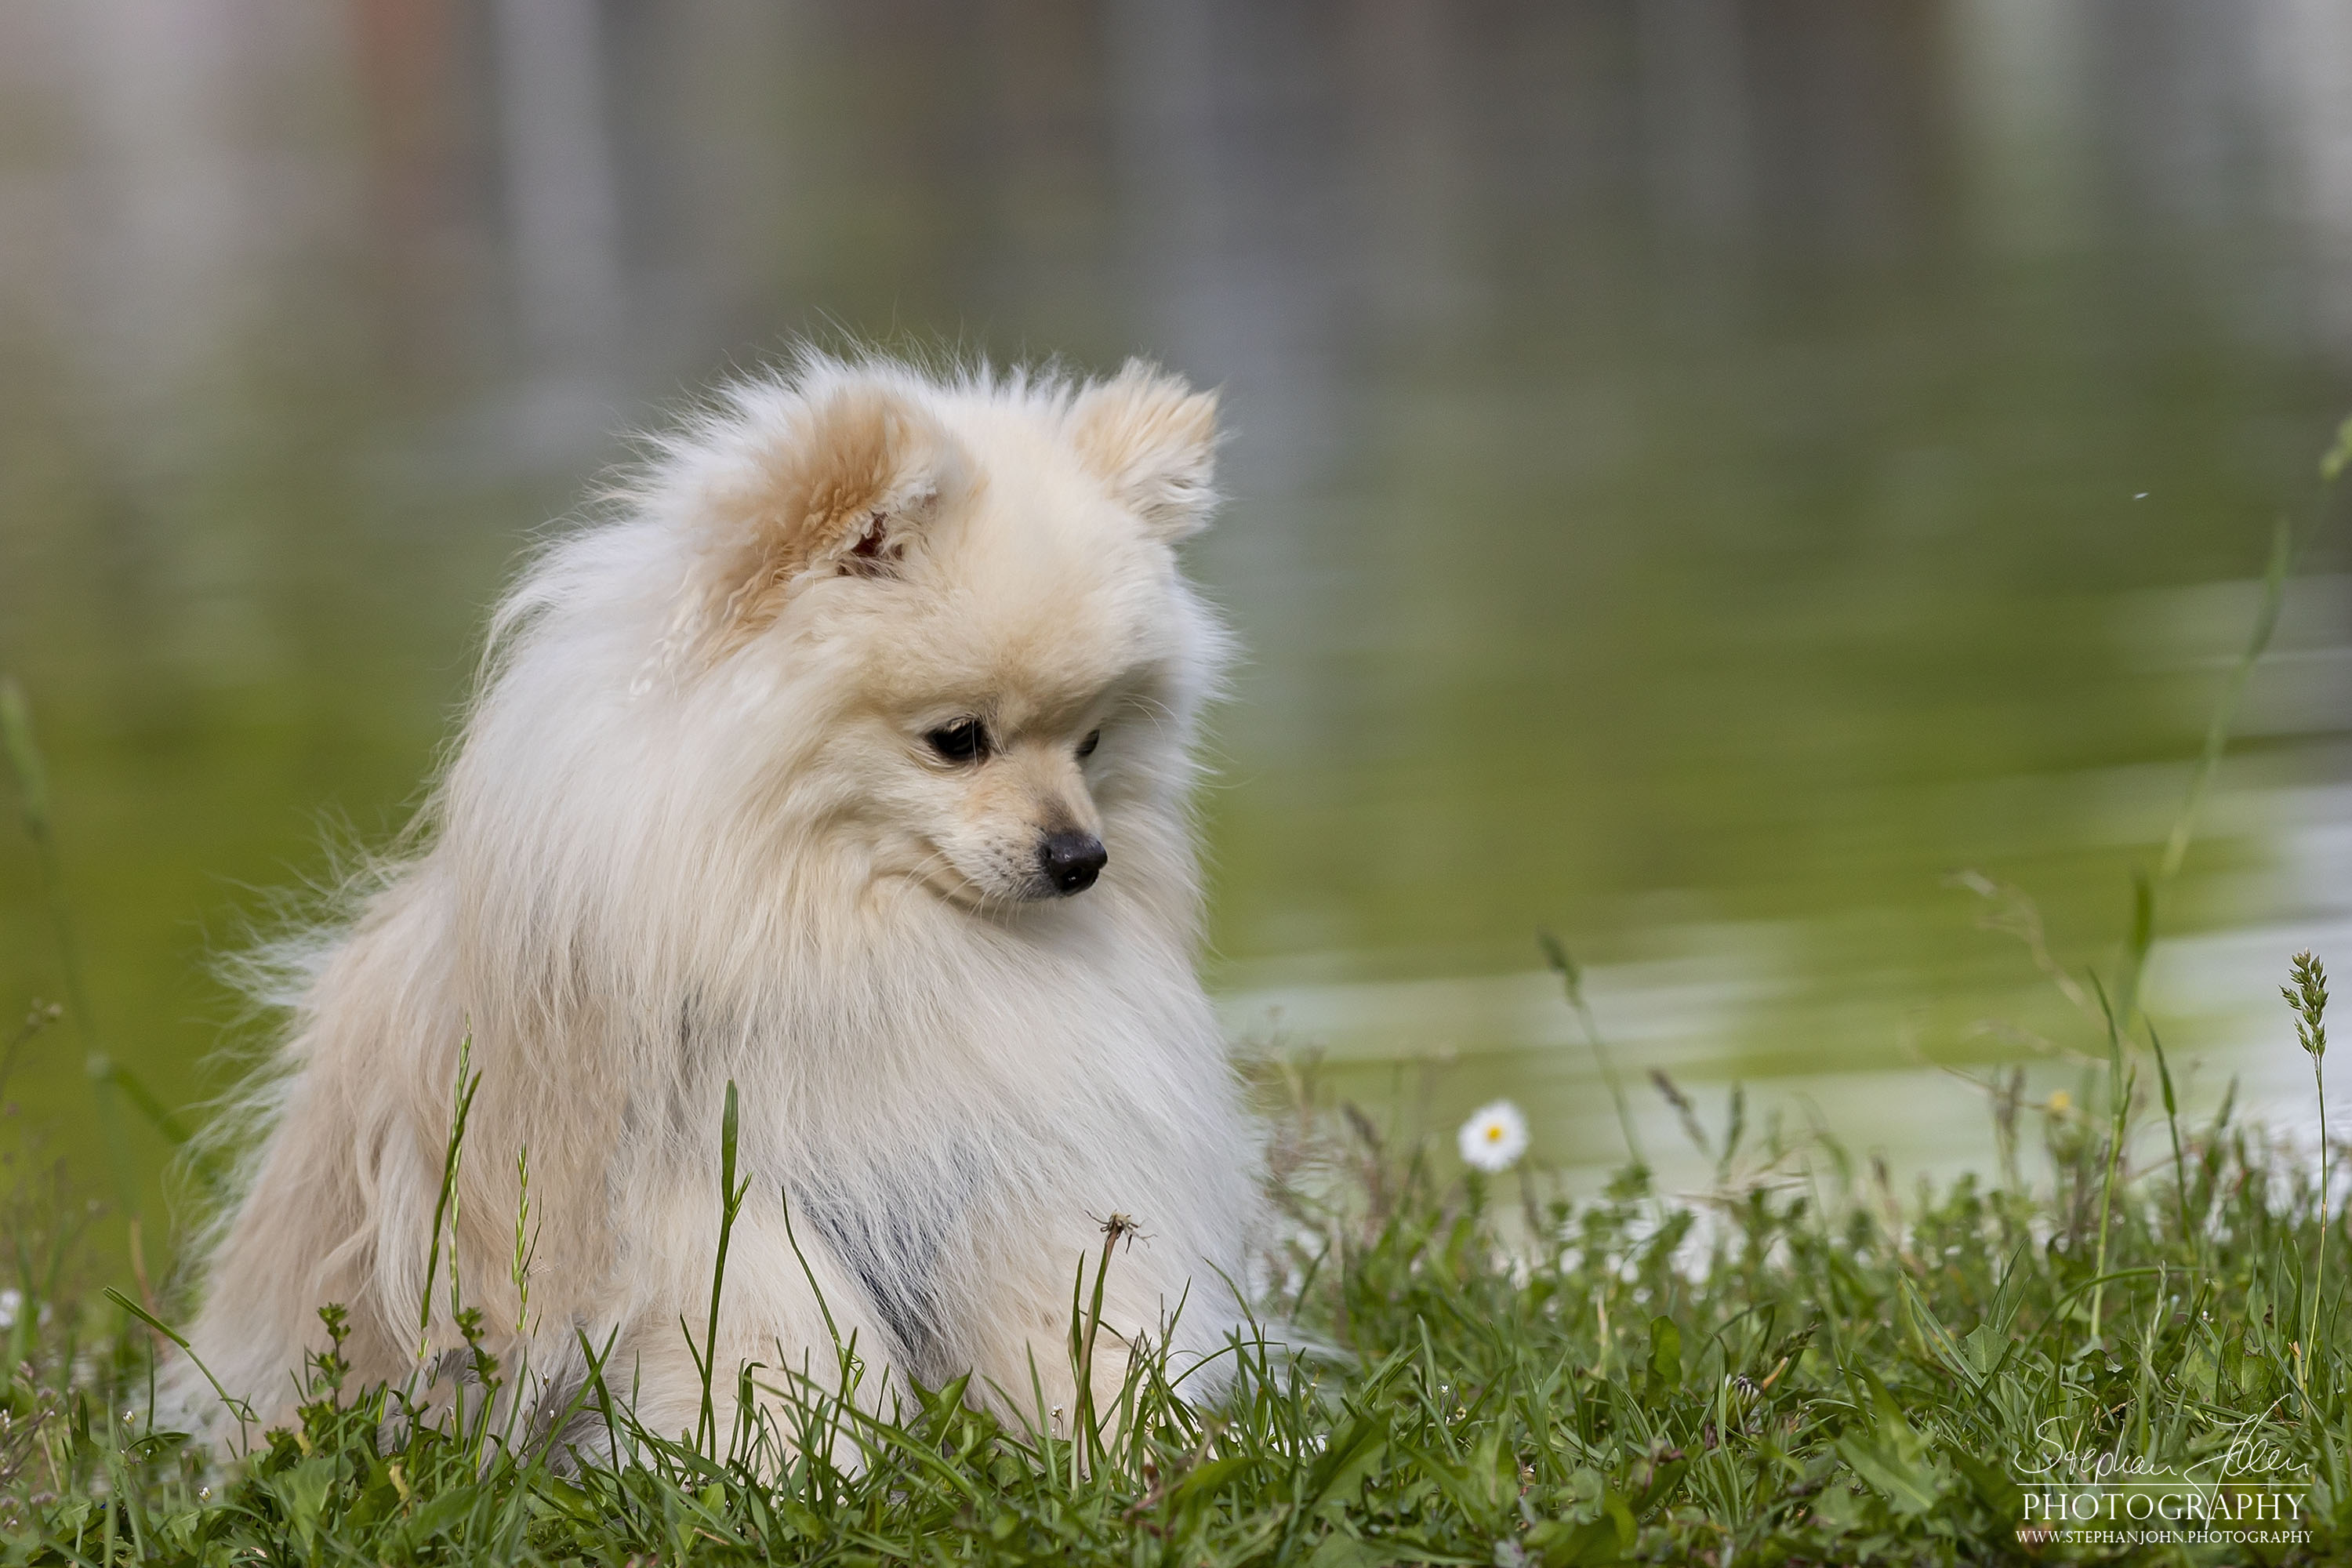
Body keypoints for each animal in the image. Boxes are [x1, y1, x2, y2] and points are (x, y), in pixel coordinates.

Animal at [168, 352, 1270, 1457]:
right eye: (958, 739)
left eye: (1091, 741)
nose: (1081, 855)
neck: (843, 917)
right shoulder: (698, 1192)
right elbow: (770, 1343)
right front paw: (790, 1463)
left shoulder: (1003, 1165)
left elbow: (1070, 1312)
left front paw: (1128, 1439)